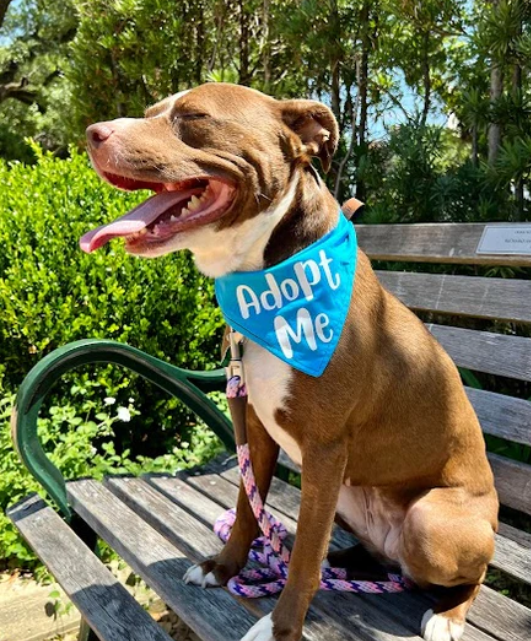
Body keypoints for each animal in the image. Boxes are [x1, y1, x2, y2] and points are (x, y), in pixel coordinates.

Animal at [82, 82, 498, 640]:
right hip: (348, 495)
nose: (92, 133)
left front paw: (281, 626)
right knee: (374, 558)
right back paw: (346, 563)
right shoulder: (256, 429)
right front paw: (224, 568)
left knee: (466, 575)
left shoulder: (322, 450)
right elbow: (246, 509)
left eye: (193, 117)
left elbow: (301, 558)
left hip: (428, 522)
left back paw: (448, 614)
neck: (265, 272)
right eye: (152, 113)